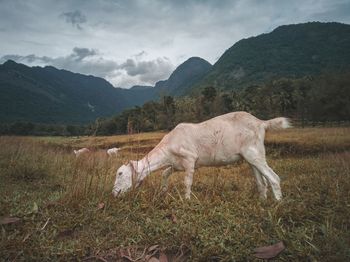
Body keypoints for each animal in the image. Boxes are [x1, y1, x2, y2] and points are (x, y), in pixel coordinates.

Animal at [112, 111, 290, 200]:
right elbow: (165, 173)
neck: (168, 145)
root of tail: (261, 123)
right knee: (261, 181)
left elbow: (187, 182)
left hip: (254, 152)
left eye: (120, 173)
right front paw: (163, 192)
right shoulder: (176, 164)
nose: (114, 193)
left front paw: (187, 200)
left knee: (274, 178)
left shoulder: (190, 159)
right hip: (251, 155)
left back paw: (277, 205)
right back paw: (263, 201)